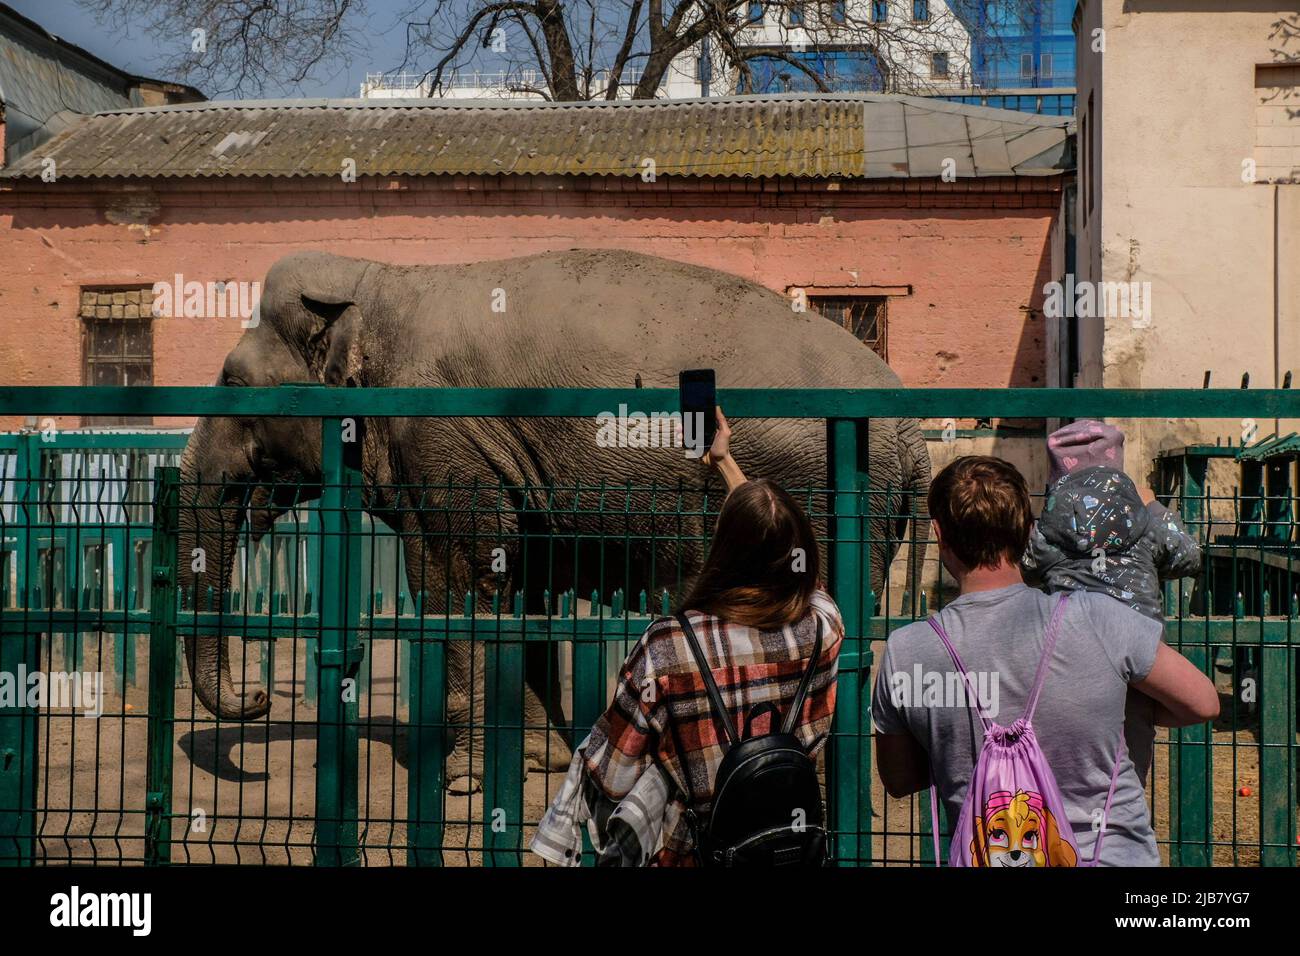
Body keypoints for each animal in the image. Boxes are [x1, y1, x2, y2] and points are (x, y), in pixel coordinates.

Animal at [180, 247, 935, 790]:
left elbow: (461, 585)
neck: (379, 284)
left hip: (822, 496)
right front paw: (539, 761)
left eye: (233, 383)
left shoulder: (447, 446)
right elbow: (524, 586)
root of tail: (914, 434)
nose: (259, 698)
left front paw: (462, 781)